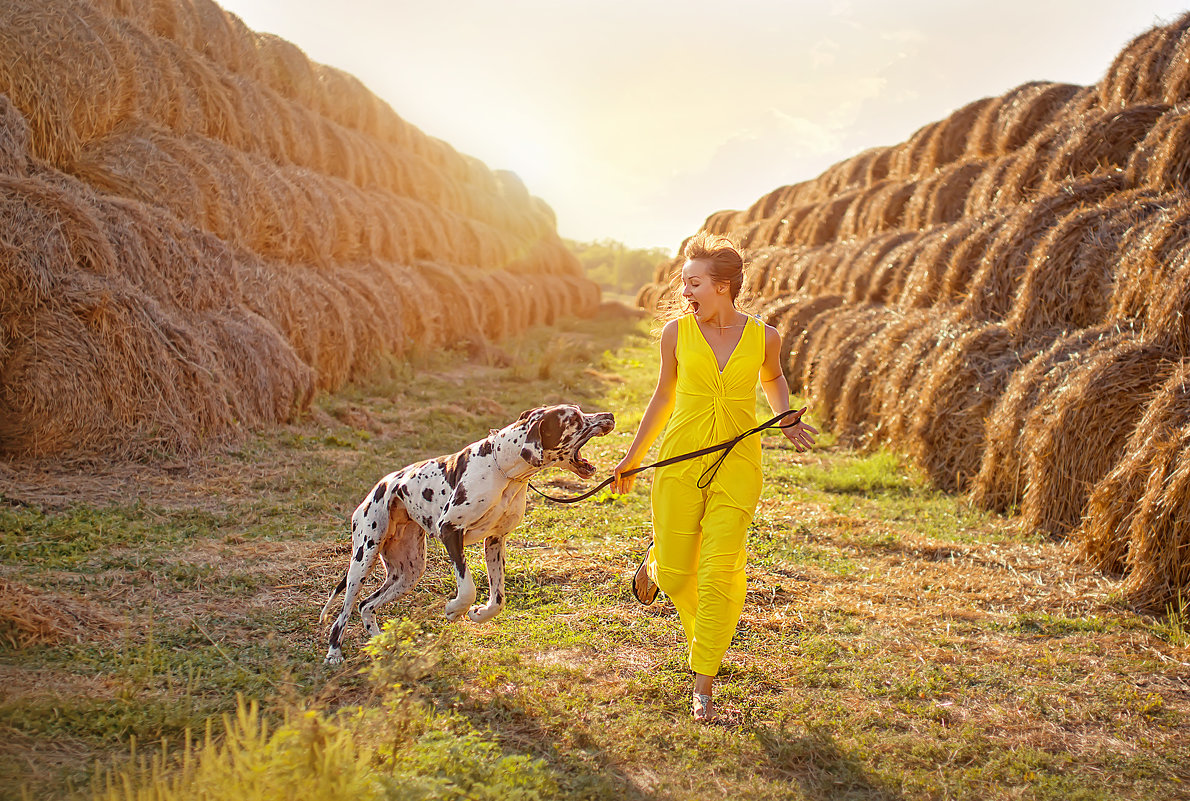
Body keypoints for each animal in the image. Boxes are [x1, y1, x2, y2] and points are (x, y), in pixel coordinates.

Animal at [318, 402, 614, 666]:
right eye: (574, 418)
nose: (609, 415)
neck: (504, 470)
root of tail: (378, 487)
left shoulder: (495, 541)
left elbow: (498, 599)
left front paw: (479, 614)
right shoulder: (450, 530)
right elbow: (468, 587)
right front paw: (454, 610)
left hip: (408, 572)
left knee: (366, 605)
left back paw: (381, 643)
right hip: (363, 560)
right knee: (344, 612)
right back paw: (334, 653)